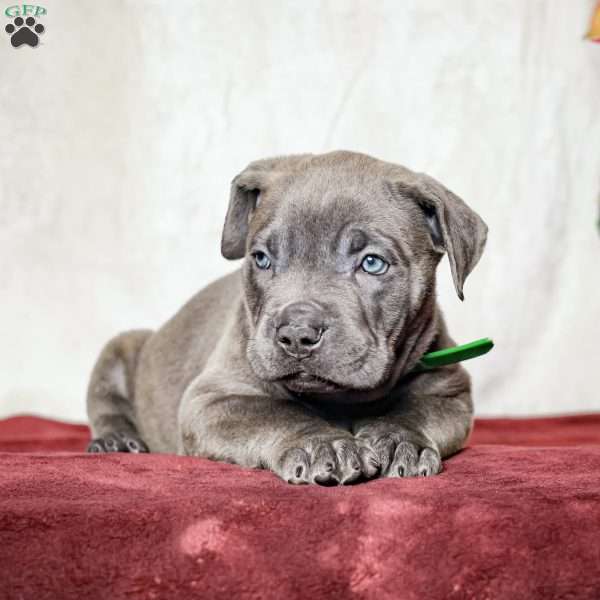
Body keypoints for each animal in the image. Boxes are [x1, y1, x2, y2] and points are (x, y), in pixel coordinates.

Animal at [88, 151, 488, 488]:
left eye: (373, 263)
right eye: (262, 259)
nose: (297, 333)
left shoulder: (450, 392)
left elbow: (415, 410)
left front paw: (398, 439)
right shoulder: (211, 398)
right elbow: (275, 412)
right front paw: (322, 444)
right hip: (121, 346)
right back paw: (117, 440)